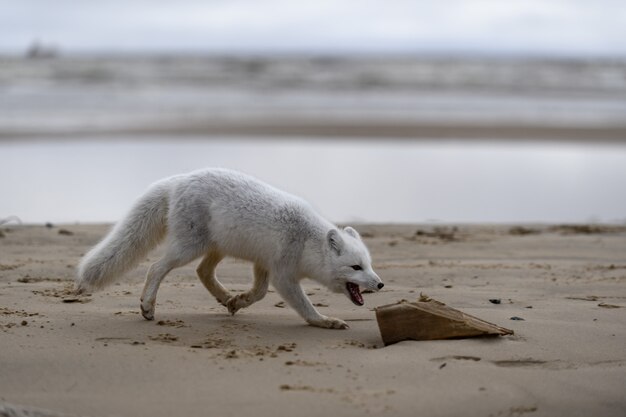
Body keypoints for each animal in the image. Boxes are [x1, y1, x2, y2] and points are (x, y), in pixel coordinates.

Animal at [77, 168, 380, 328]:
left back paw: (225, 298)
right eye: (356, 267)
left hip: (216, 247)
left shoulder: (264, 263)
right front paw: (325, 321)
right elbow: (304, 307)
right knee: (156, 267)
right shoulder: (283, 275)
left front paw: (239, 301)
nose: (380, 285)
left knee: (203, 272)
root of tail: (178, 179)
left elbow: (259, 293)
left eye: (369, 265)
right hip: (188, 247)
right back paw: (148, 307)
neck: (305, 239)